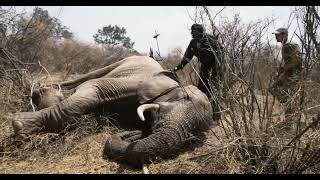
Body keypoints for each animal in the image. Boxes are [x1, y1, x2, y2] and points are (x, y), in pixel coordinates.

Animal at [12, 55, 214, 166]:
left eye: (192, 137)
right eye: (184, 97)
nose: (133, 134)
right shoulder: (138, 83)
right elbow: (91, 91)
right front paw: (20, 125)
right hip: (123, 61)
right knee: (87, 77)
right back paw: (39, 90)